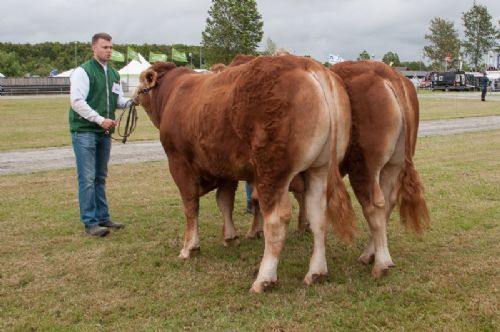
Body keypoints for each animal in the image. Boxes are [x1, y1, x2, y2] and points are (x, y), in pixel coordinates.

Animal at [133, 55, 356, 292]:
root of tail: (308, 65)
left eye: (141, 82)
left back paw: (264, 279)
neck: (172, 93)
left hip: (272, 171)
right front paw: (230, 237)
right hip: (319, 169)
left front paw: (189, 247)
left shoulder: (179, 163)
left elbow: (191, 206)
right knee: (318, 216)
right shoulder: (225, 170)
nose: (133, 97)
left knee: (276, 220)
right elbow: (224, 202)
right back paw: (316, 272)